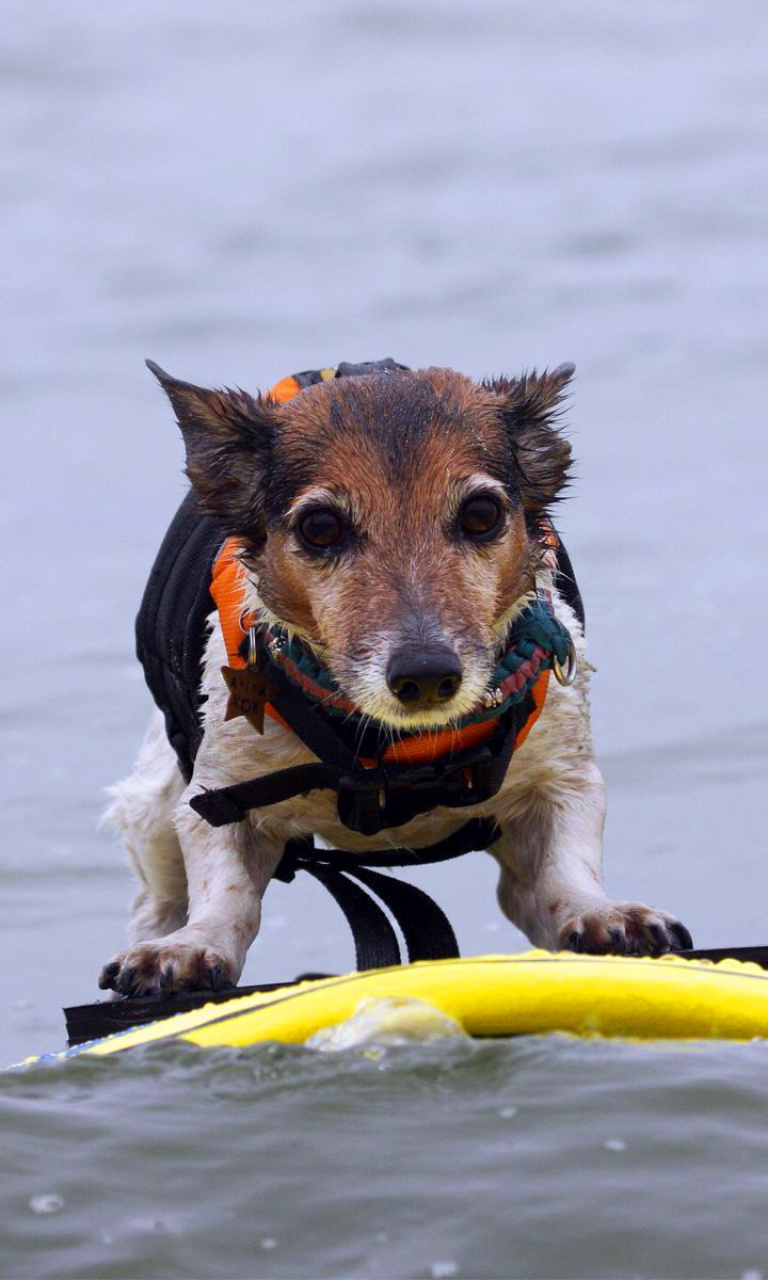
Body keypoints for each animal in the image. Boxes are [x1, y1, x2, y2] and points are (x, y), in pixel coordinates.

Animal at [99, 360, 691, 998]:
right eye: (320, 526)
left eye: (481, 514)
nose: (426, 675)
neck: (400, 751)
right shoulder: (221, 792)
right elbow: (223, 887)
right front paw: (192, 945)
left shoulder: (561, 776)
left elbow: (565, 869)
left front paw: (601, 912)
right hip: (155, 804)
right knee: (159, 893)